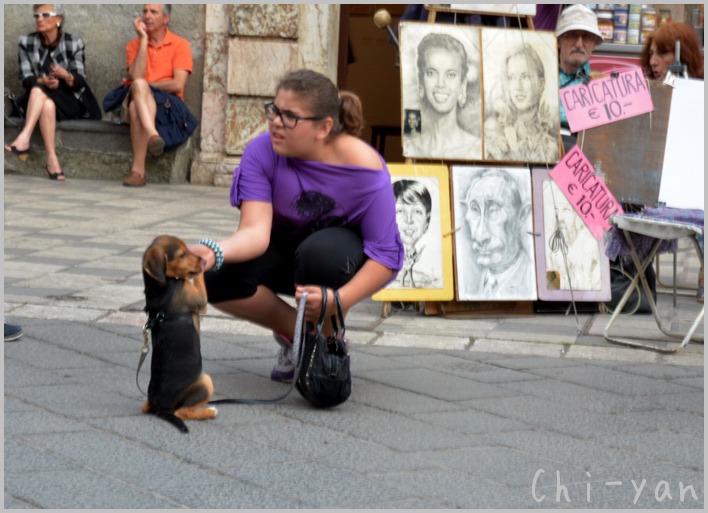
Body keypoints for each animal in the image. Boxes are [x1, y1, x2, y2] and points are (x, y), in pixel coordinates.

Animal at [139, 235, 214, 432]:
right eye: (182, 254)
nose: (201, 260)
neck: (162, 286)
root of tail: (160, 407)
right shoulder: (200, 299)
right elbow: (197, 279)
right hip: (205, 382)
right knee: (182, 412)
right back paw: (209, 412)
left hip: (148, 403)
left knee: (145, 407)